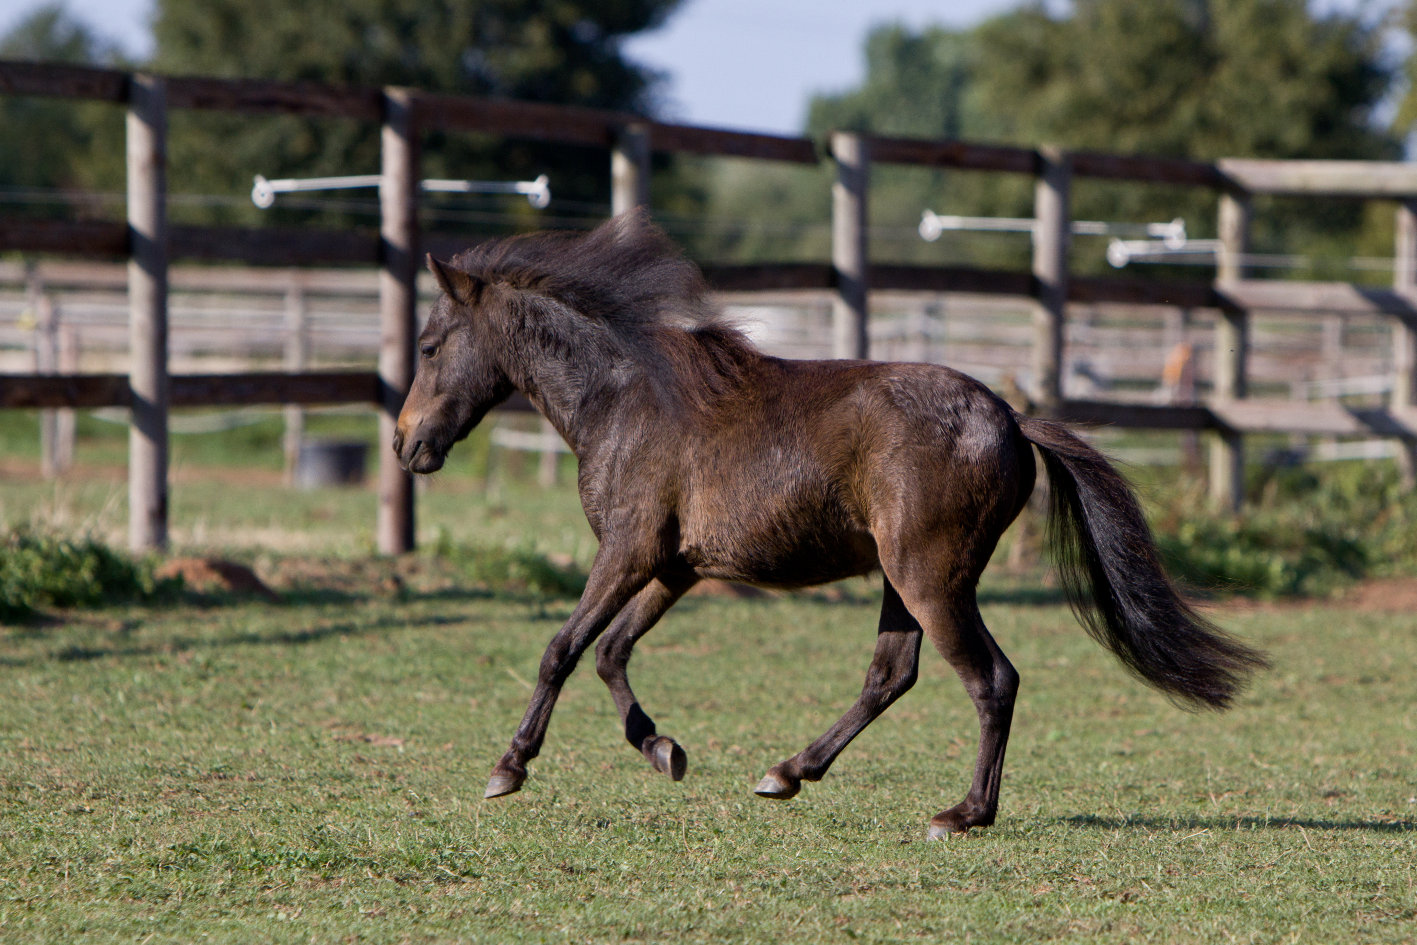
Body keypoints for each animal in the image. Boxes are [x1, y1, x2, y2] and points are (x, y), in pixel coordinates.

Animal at [393, 211, 1269, 838]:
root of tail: (1013, 421)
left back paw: (961, 814)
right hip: (899, 579)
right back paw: (786, 771)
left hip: (930, 577)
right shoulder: (675, 565)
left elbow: (561, 647)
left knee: (991, 679)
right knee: (891, 673)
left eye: (431, 344)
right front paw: (664, 750)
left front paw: (508, 768)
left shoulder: (628, 550)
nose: (406, 444)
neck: (626, 399)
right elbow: (611, 651)